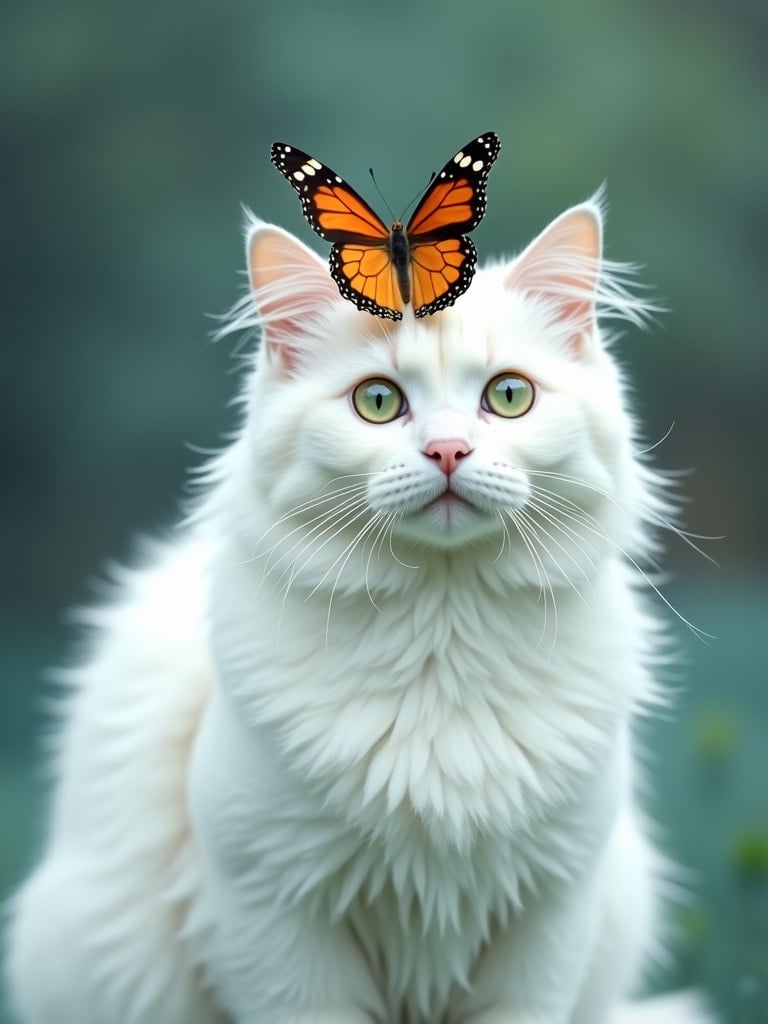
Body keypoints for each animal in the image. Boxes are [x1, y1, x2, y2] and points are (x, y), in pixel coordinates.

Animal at [4, 195, 716, 1019]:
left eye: (508, 396)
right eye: (379, 403)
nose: (448, 452)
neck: (443, 638)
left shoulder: (550, 917)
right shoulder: (272, 920)